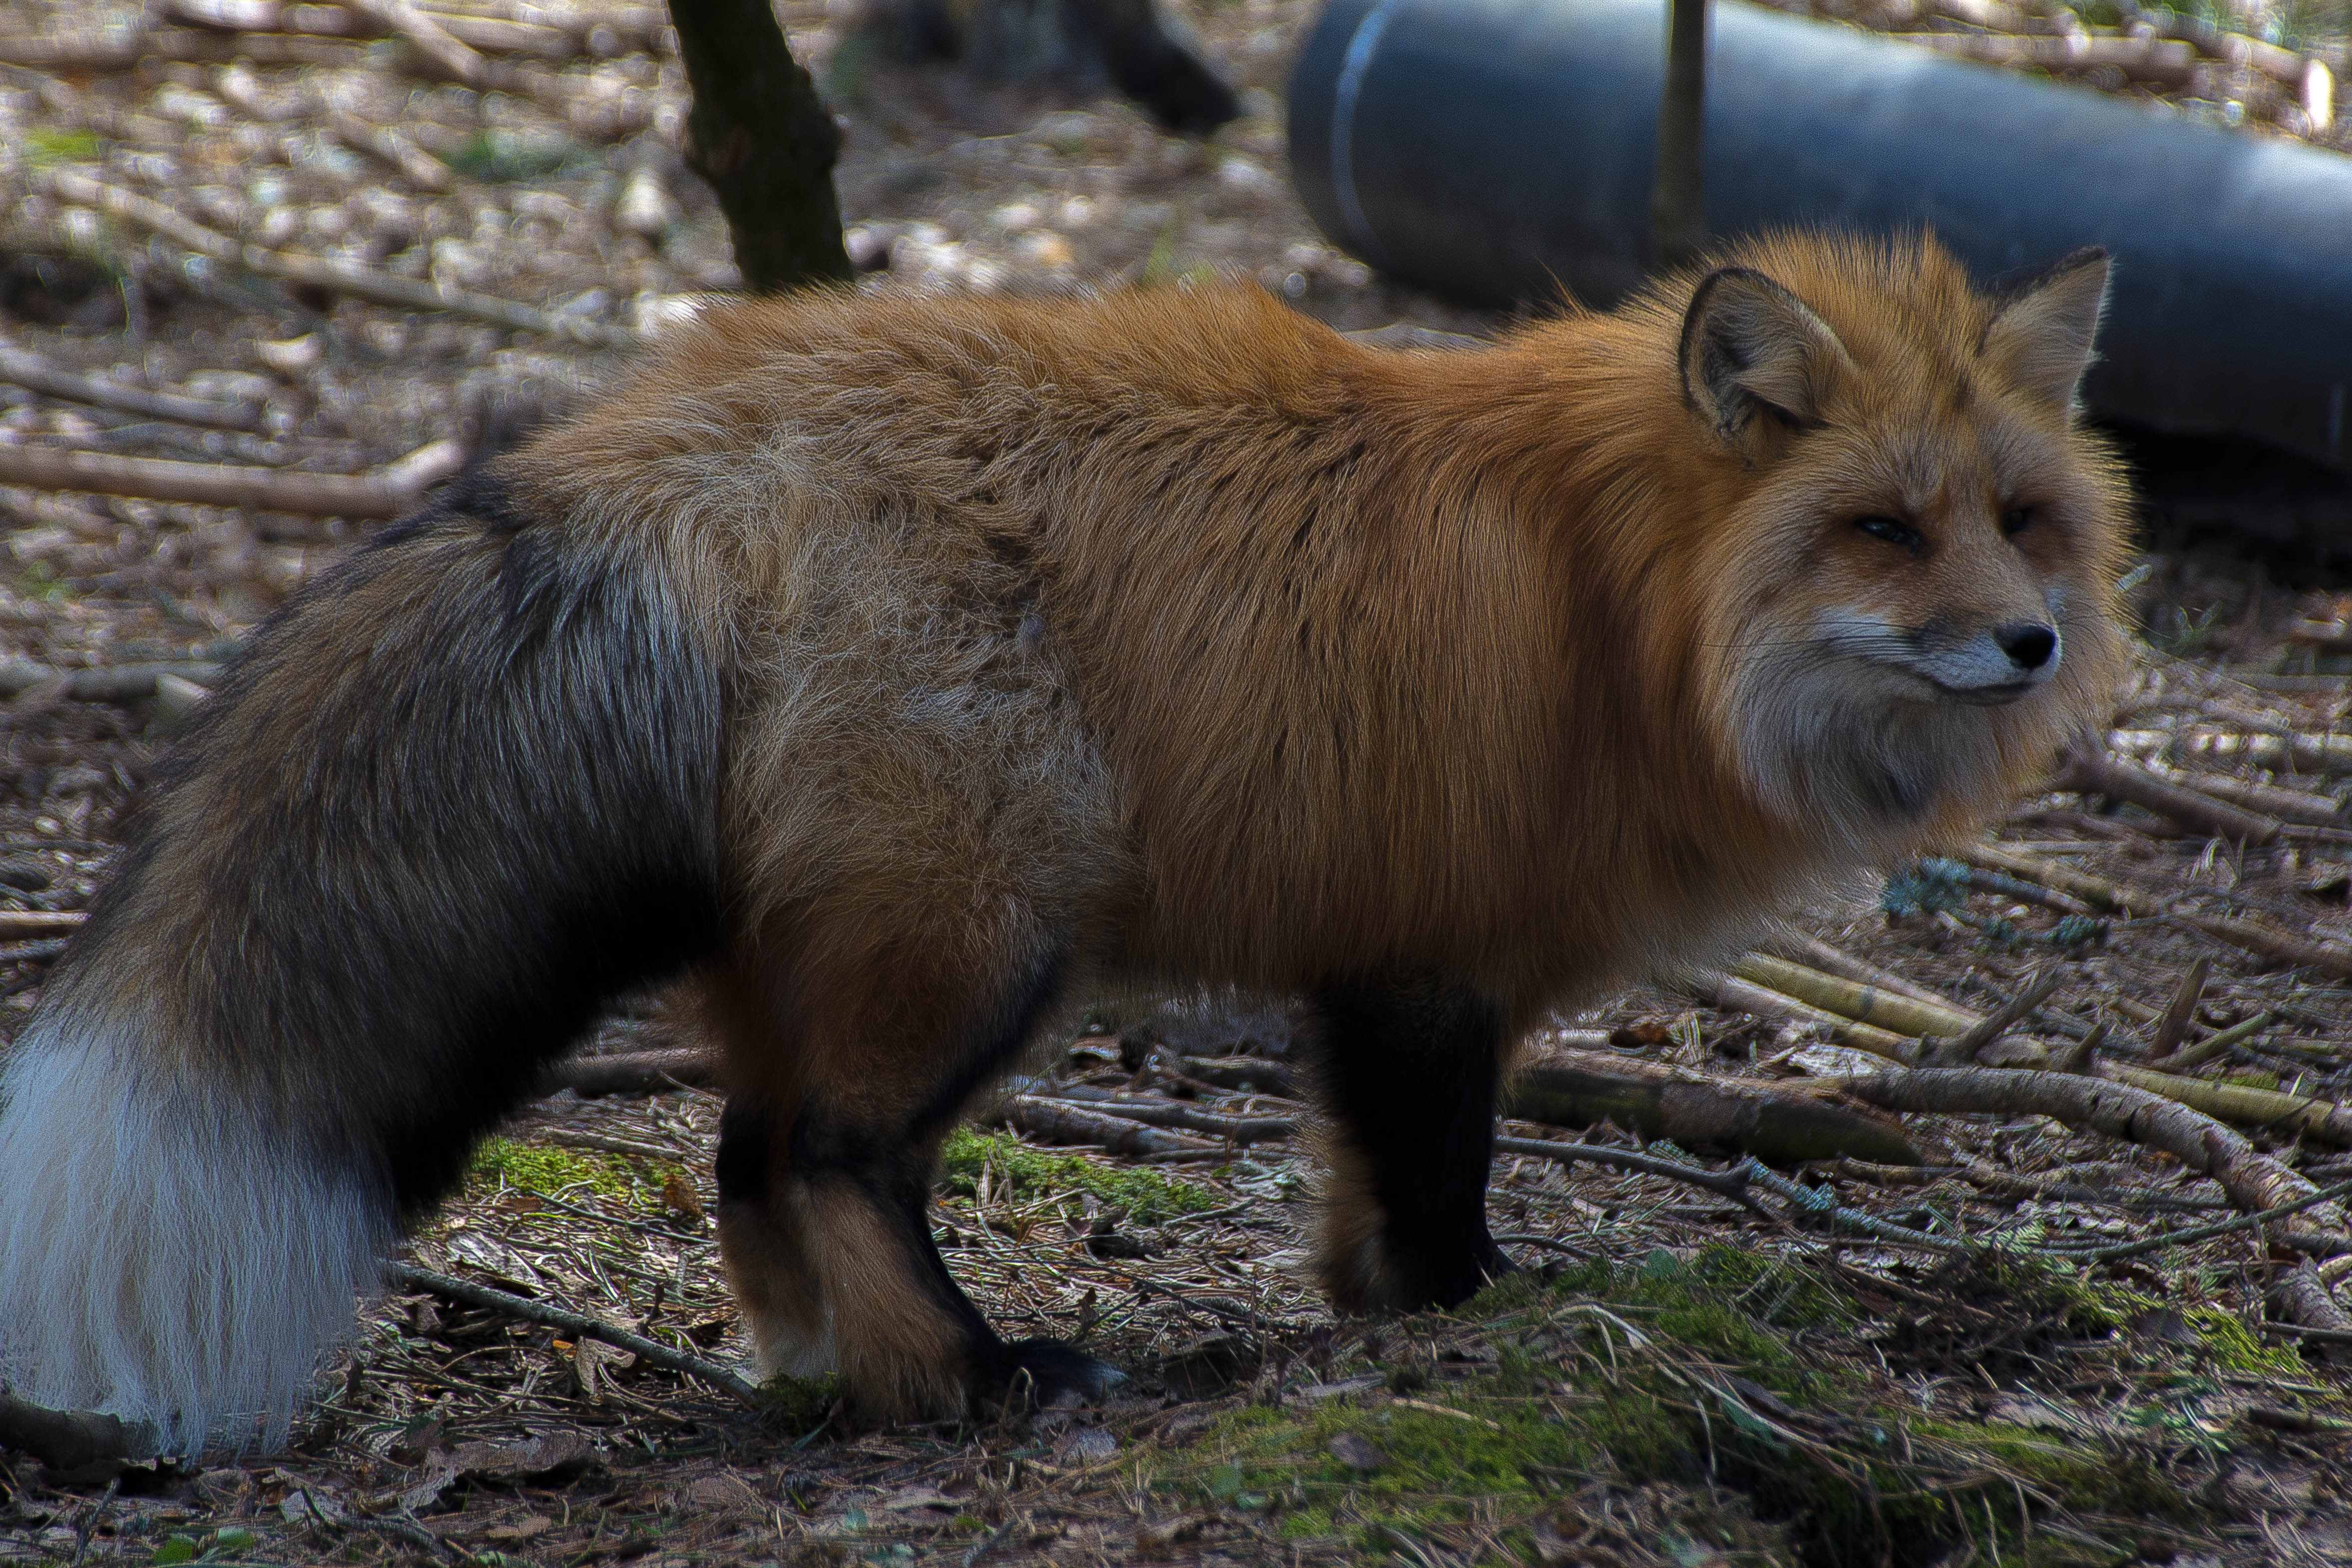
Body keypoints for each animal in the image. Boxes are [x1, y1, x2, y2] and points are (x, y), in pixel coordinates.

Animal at [0, 232, 2128, 1453]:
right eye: (1880, 530)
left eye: (2023, 520)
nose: (2028, 644)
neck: (1611, 598)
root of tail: (671, 429)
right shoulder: (1432, 956)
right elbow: (1438, 1180)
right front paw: (1472, 1322)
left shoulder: (1372, 949)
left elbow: (1361, 1189)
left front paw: (1371, 1313)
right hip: (985, 929)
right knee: (834, 1154)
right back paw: (968, 1379)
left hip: (832, 943)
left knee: (743, 1156)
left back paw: (821, 1374)